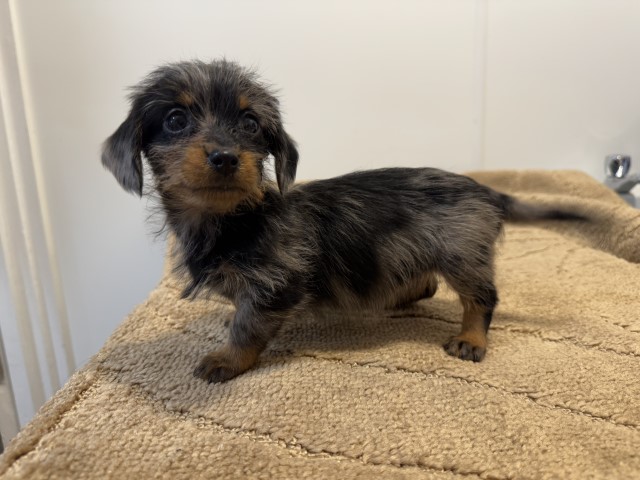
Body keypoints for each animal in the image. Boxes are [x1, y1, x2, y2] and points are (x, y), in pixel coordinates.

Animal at [101, 59, 584, 382]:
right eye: (175, 119)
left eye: (251, 124)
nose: (224, 157)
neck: (236, 218)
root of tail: (485, 190)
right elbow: (240, 312)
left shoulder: (276, 285)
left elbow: (248, 327)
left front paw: (227, 358)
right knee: (426, 284)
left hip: (462, 255)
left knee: (482, 298)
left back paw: (472, 338)